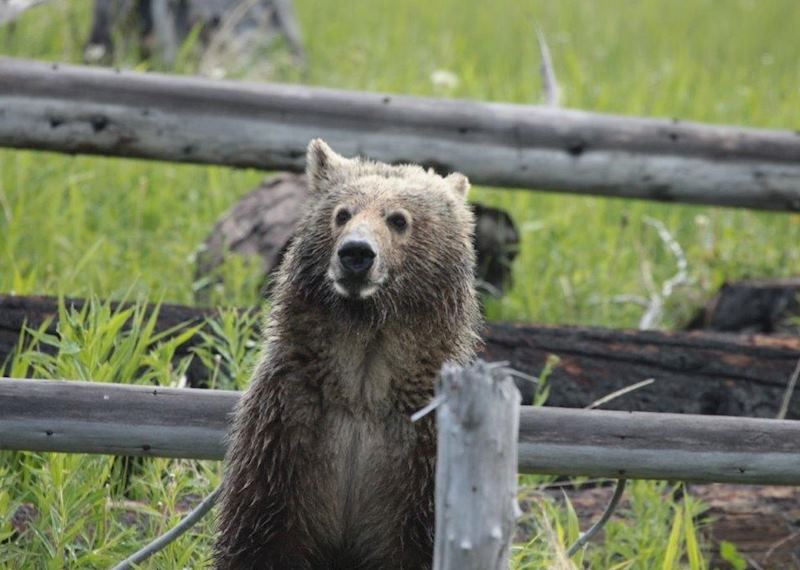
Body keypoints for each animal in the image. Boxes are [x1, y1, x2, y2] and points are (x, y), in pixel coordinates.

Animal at [213, 139, 481, 569]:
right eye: (342, 213)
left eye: (398, 219)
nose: (356, 253)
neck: (363, 384)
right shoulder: (285, 434)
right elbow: (258, 539)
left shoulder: (421, 458)